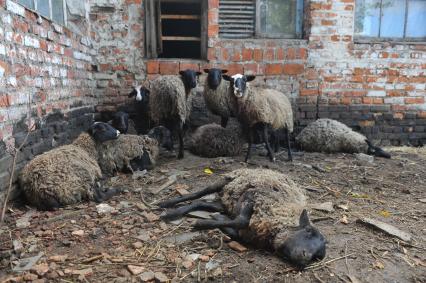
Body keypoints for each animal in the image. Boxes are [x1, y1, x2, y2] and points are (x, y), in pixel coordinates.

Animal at [159, 169, 326, 268]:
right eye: (308, 231)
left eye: (318, 257)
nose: (306, 257)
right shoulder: (253, 196)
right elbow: (242, 220)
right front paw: (201, 223)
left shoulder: (248, 231)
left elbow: (237, 229)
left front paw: (217, 219)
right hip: (227, 182)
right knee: (199, 193)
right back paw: (166, 206)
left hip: (226, 202)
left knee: (200, 202)